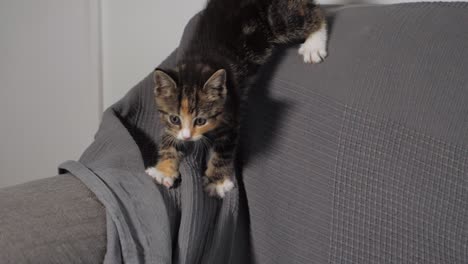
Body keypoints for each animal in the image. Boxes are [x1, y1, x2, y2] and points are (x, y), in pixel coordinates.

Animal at [144, 0, 328, 198]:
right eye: (175, 119)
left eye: (200, 120)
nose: (187, 137)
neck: (197, 63)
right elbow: (168, 138)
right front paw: (163, 171)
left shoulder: (231, 114)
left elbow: (223, 151)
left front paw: (216, 182)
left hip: (277, 19)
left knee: (315, 12)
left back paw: (314, 46)